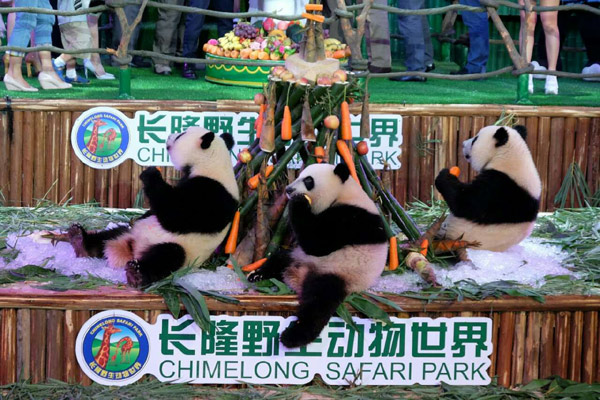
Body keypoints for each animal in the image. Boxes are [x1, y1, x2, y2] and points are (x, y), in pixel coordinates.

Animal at [67, 126, 239, 286]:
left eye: (181, 134)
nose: (169, 136)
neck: (212, 162)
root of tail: (133, 250)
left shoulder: (213, 194)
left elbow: (177, 214)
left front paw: (150, 173)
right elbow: (155, 211)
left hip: (183, 251)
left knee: (167, 256)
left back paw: (136, 273)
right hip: (131, 232)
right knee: (110, 234)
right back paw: (80, 240)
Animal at [248, 164, 390, 348]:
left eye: (308, 180)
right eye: (298, 175)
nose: (288, 189)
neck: (343, 193)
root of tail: (298, 274)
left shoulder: (353, 219)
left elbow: (317, 242)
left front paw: (298, 202)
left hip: (340, 272)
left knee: (319, 302)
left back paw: (293, 336)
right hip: (299, 256)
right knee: (279, 259)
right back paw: (258, 274)